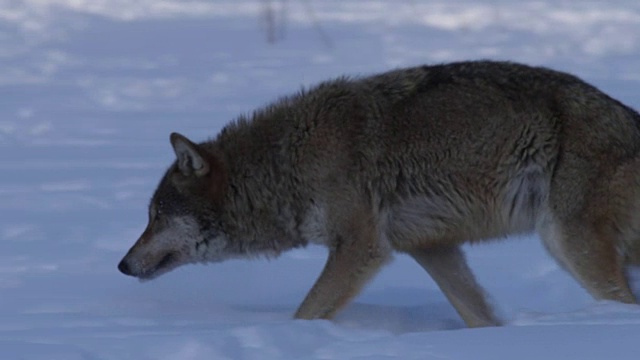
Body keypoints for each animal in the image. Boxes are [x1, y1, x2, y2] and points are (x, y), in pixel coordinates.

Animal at [117, 61, 640, 326]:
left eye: (157, 215)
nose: (121, 265)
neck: (286, 163)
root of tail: (630, 117)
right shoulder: (432, 248)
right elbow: (478, 313)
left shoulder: (361, 248)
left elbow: (305, 314)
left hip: (568, 243)